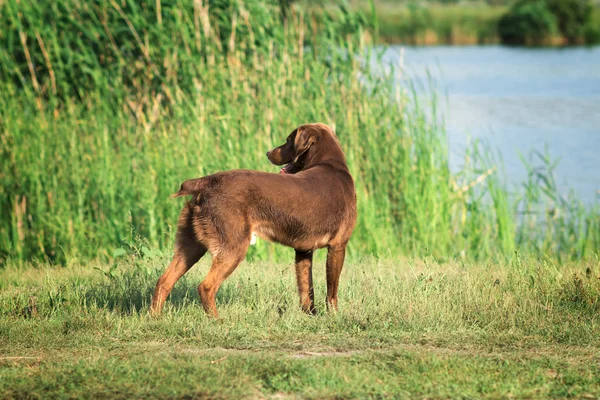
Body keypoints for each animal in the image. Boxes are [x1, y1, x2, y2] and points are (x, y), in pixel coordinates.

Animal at [151, 123, 356, 318]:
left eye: (289, 140)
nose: (268, 153)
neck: (329, 164)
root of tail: (206, 182)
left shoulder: (304, 250)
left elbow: (306, 287)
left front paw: (311, 315)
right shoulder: (338, 245)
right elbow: (331, 291)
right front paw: (334, 317)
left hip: (191, 246)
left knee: (164, 281)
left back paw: (155, 318)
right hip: (233, 247)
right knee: (206, 287)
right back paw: (218, 321)